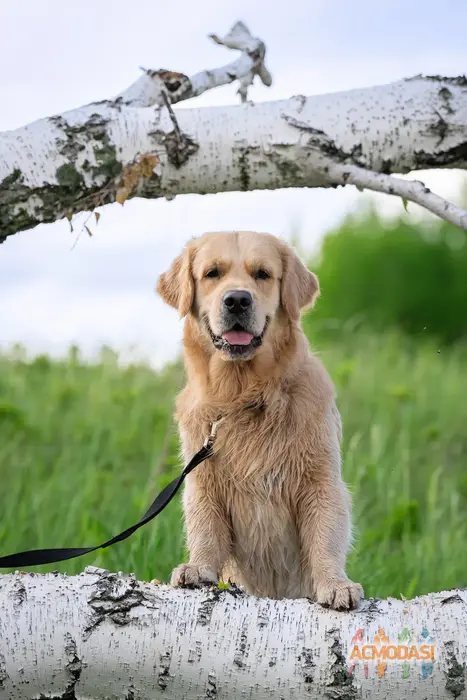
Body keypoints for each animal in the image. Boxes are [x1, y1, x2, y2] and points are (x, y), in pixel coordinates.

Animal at [159, 232, 364, 608]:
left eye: (263, 274)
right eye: (212, 273)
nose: (238, 300)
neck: (244, 396)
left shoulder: (321, 479)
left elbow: (325, 537)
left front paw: (336, 584)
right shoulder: (203, 480)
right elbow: (206, 530)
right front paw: (198, 568)